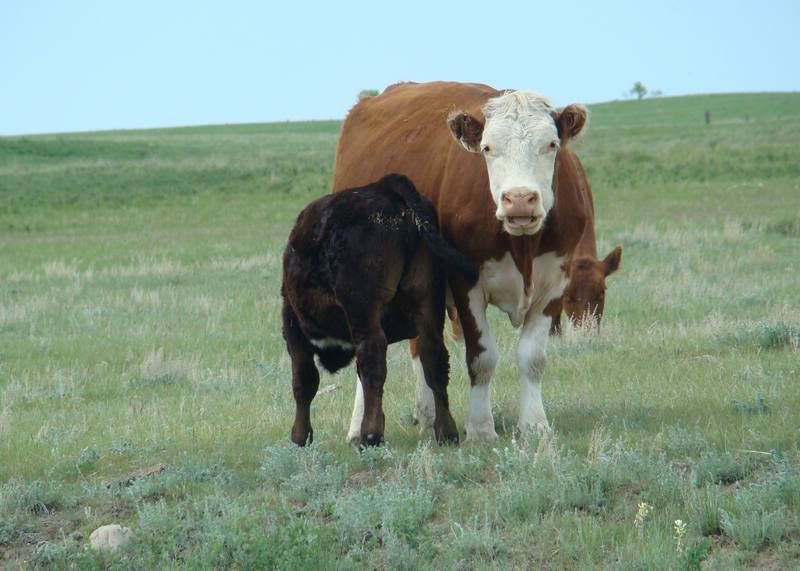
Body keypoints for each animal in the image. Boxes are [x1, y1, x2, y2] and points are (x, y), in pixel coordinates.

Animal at [281, 174, 478, 447]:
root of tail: (385, 188)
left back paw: (371, 434)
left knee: (374, 358)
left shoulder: (292, 326)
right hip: (427, 300)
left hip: (362, 309)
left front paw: (300, 437)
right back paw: (446, 432)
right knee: (434, 358)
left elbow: (303, 381)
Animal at [333, 81, 602, 441]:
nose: (519, 199)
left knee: (420, 345)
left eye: (551, 144)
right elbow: (481, 357)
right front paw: (481, 429)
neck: (522, 245)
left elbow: (533, 357)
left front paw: (534, 425)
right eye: (487, 148)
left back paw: (427, 416)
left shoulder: (554, 282)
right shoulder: (467, 285)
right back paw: (358, 428)